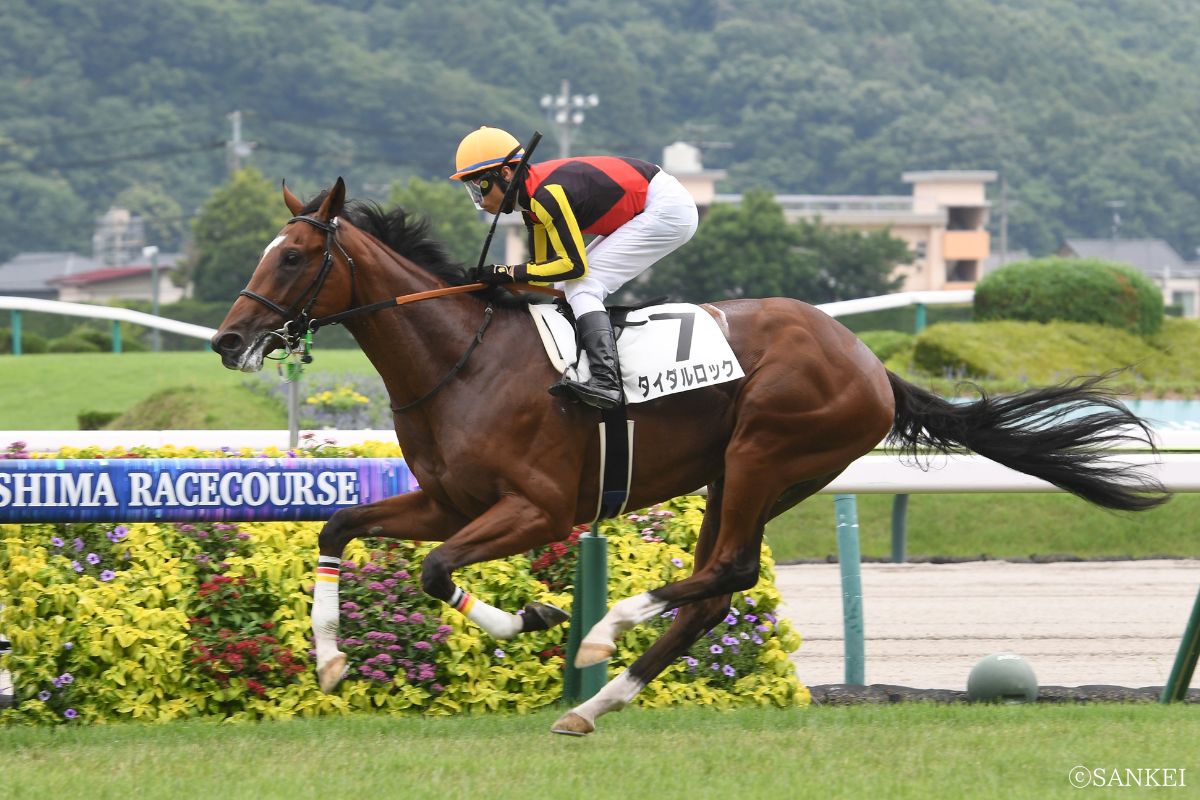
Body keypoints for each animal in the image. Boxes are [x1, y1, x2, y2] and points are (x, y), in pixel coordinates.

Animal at [212, 178, 1168, 735]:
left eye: (294, 256)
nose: (227, 340)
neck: (464, 358)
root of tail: (870, 363)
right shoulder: (448, 499)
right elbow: (338, 527)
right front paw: (331, 660)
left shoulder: (536, 509)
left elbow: (437, 571)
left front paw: (541, 619)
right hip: (741, 476)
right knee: (713, 590)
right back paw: (598, 702)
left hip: (765, 453)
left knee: (729, 573)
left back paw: (603, 636)